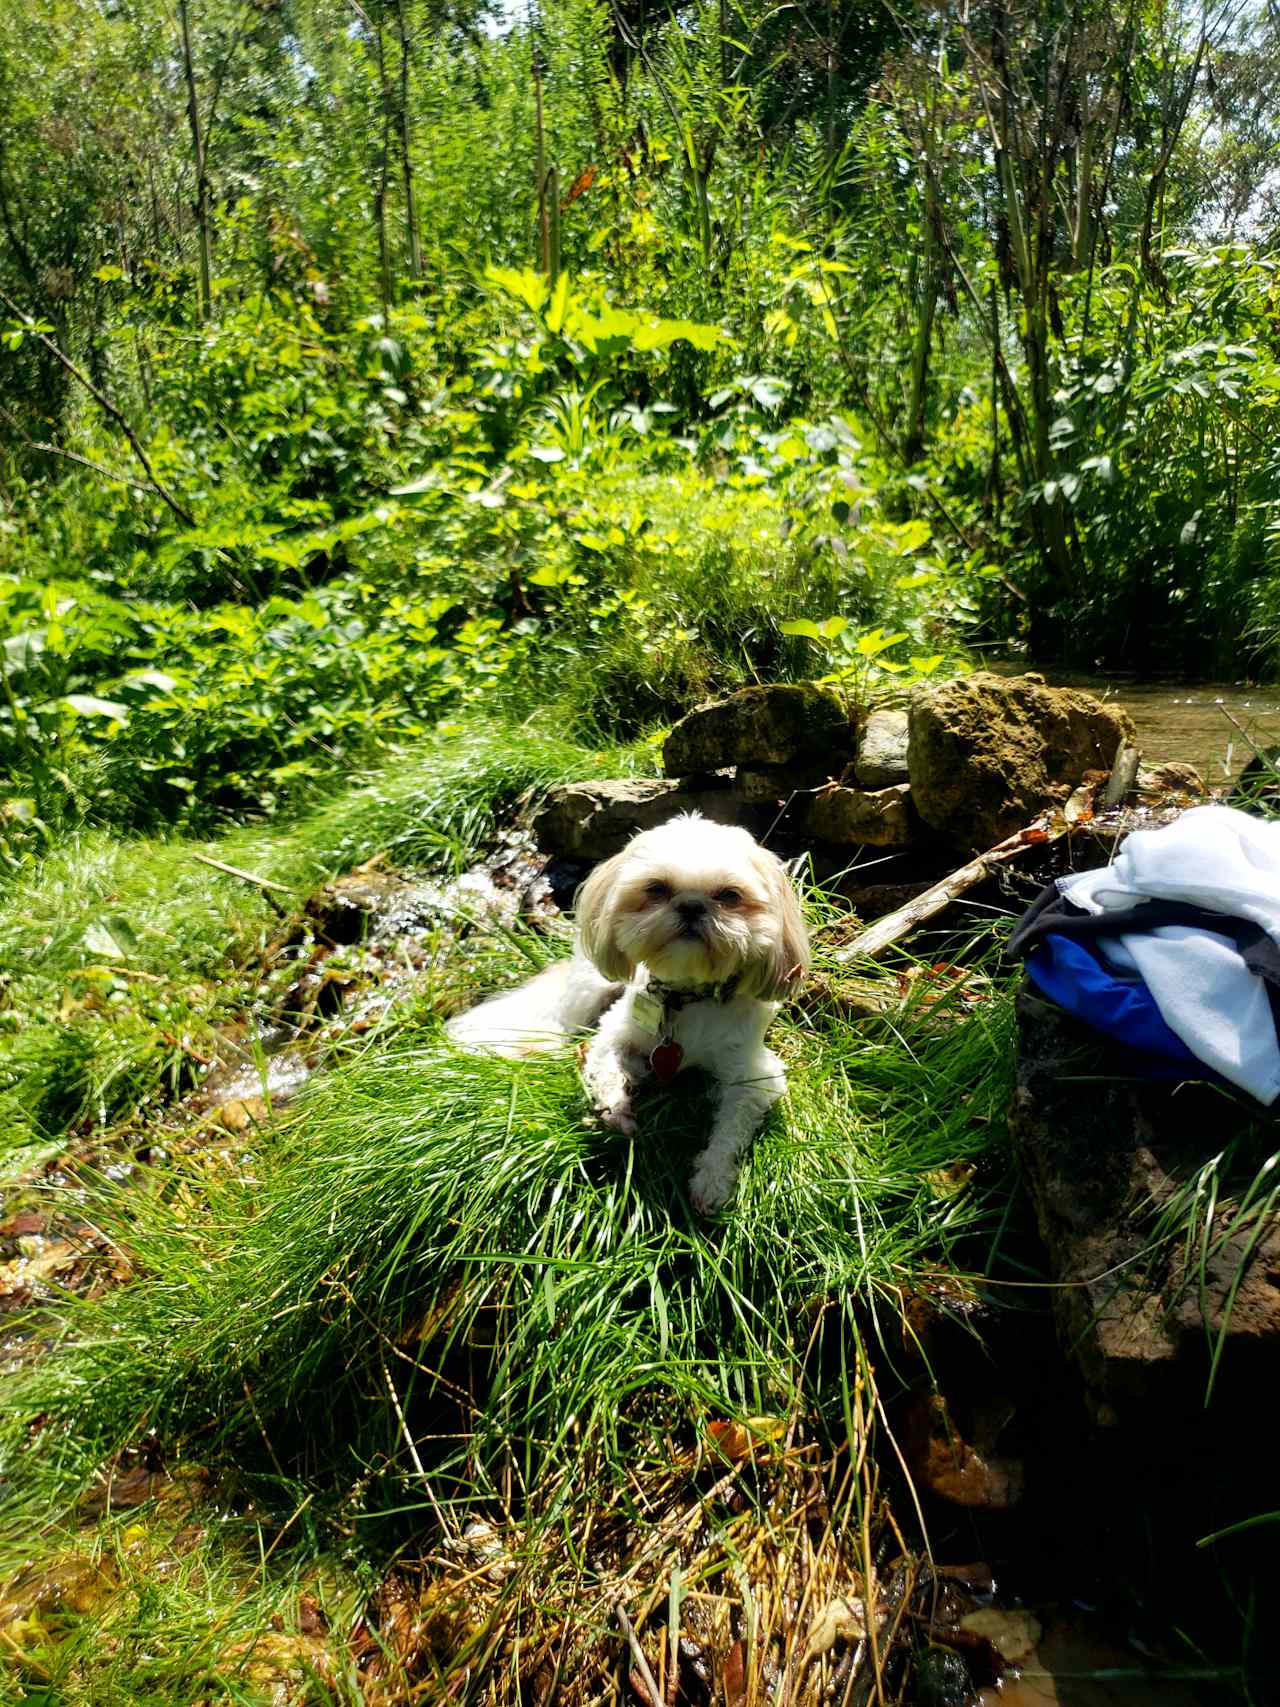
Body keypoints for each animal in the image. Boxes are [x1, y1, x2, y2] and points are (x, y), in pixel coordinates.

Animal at [450, 815, 805, 1208]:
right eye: (656, 889)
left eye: (730, 895)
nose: (691, 906)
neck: (686, 997)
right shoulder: (613, 1033)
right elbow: (605, 1066)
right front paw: (616, 1109)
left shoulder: (753, 1075)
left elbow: (731, 1129)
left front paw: (711, 1179)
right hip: (592, 986)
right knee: (563, 1020)